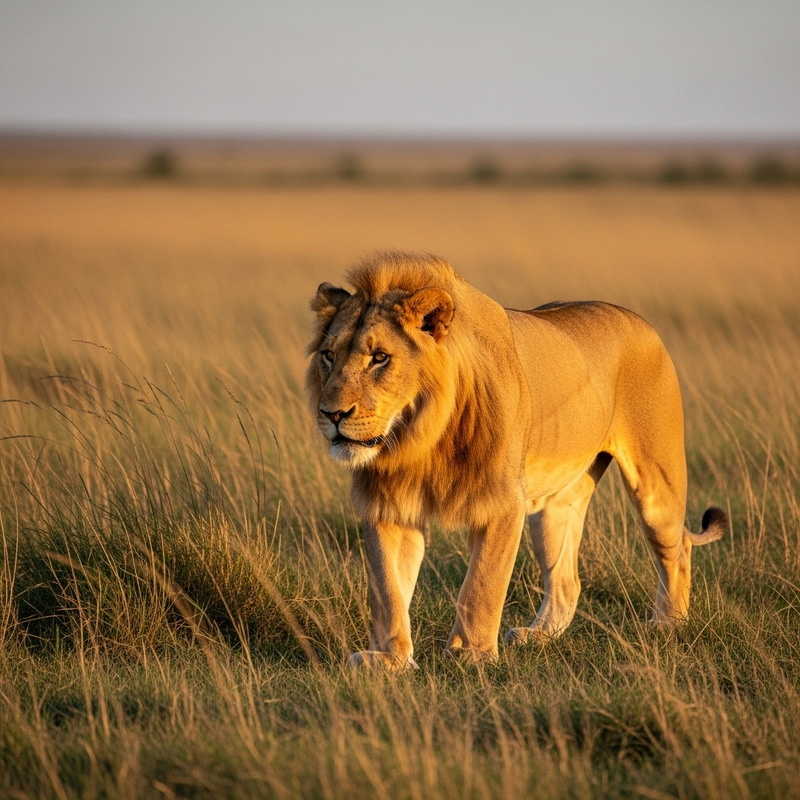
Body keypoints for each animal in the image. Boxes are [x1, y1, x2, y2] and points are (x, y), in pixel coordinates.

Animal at [306, 250, 726, 669]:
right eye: (328, 356)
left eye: (380, 358)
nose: (331, 414)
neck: (418, 440)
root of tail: (640, 321)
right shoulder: (388, 507)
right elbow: (388, 590)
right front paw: (389, 659)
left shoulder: (503, 503)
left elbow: (482, 585)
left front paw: (470, 655)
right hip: (556, 505)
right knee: (567, 580)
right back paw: (539, 636)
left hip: (655, 482)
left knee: (678, 548)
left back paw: (668, 624)